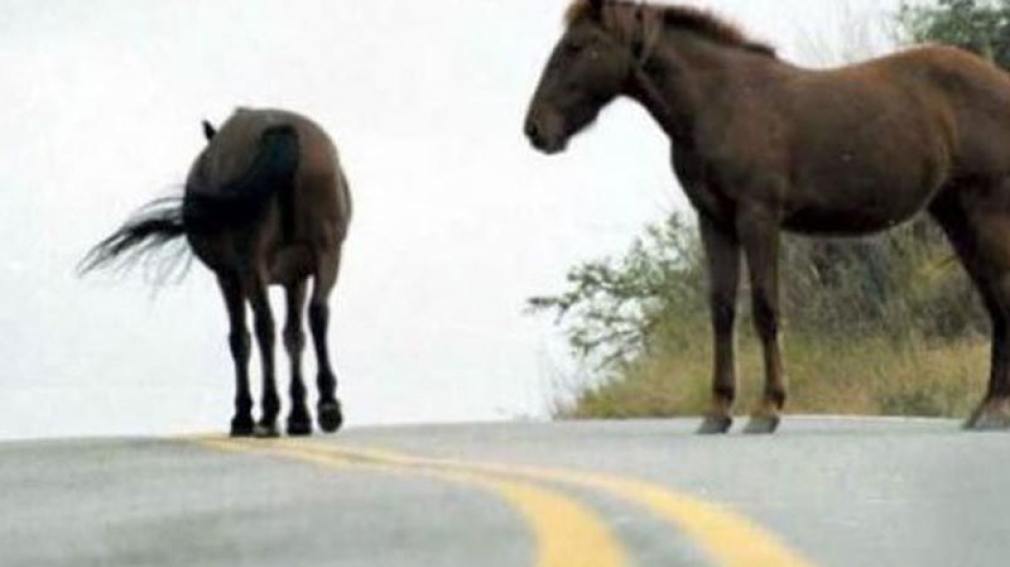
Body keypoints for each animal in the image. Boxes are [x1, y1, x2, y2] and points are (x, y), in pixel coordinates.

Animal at [81, 108, 352, 438]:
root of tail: (280, 129)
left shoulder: (228, 277)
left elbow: (240, 339)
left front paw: (244, 415)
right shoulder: (296, 277)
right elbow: (294, 336)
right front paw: (299, 415)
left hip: (251, 264)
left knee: (263, 326)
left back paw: (267, 414)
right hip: (327, 251)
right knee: (317, 312)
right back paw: (328, 405)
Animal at [525, 0, 1010, 433]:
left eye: (577, 45)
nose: (535, 129)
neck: (719, 101)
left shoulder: (757, 217)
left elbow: (764, 308)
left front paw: (767, 408)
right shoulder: (714, 221)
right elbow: (722, 310)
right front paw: (717, 412)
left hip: (986, 212)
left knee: (1000, 296)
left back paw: (995, 409)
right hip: (956, 216)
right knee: (993, 300)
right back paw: (984, 409)